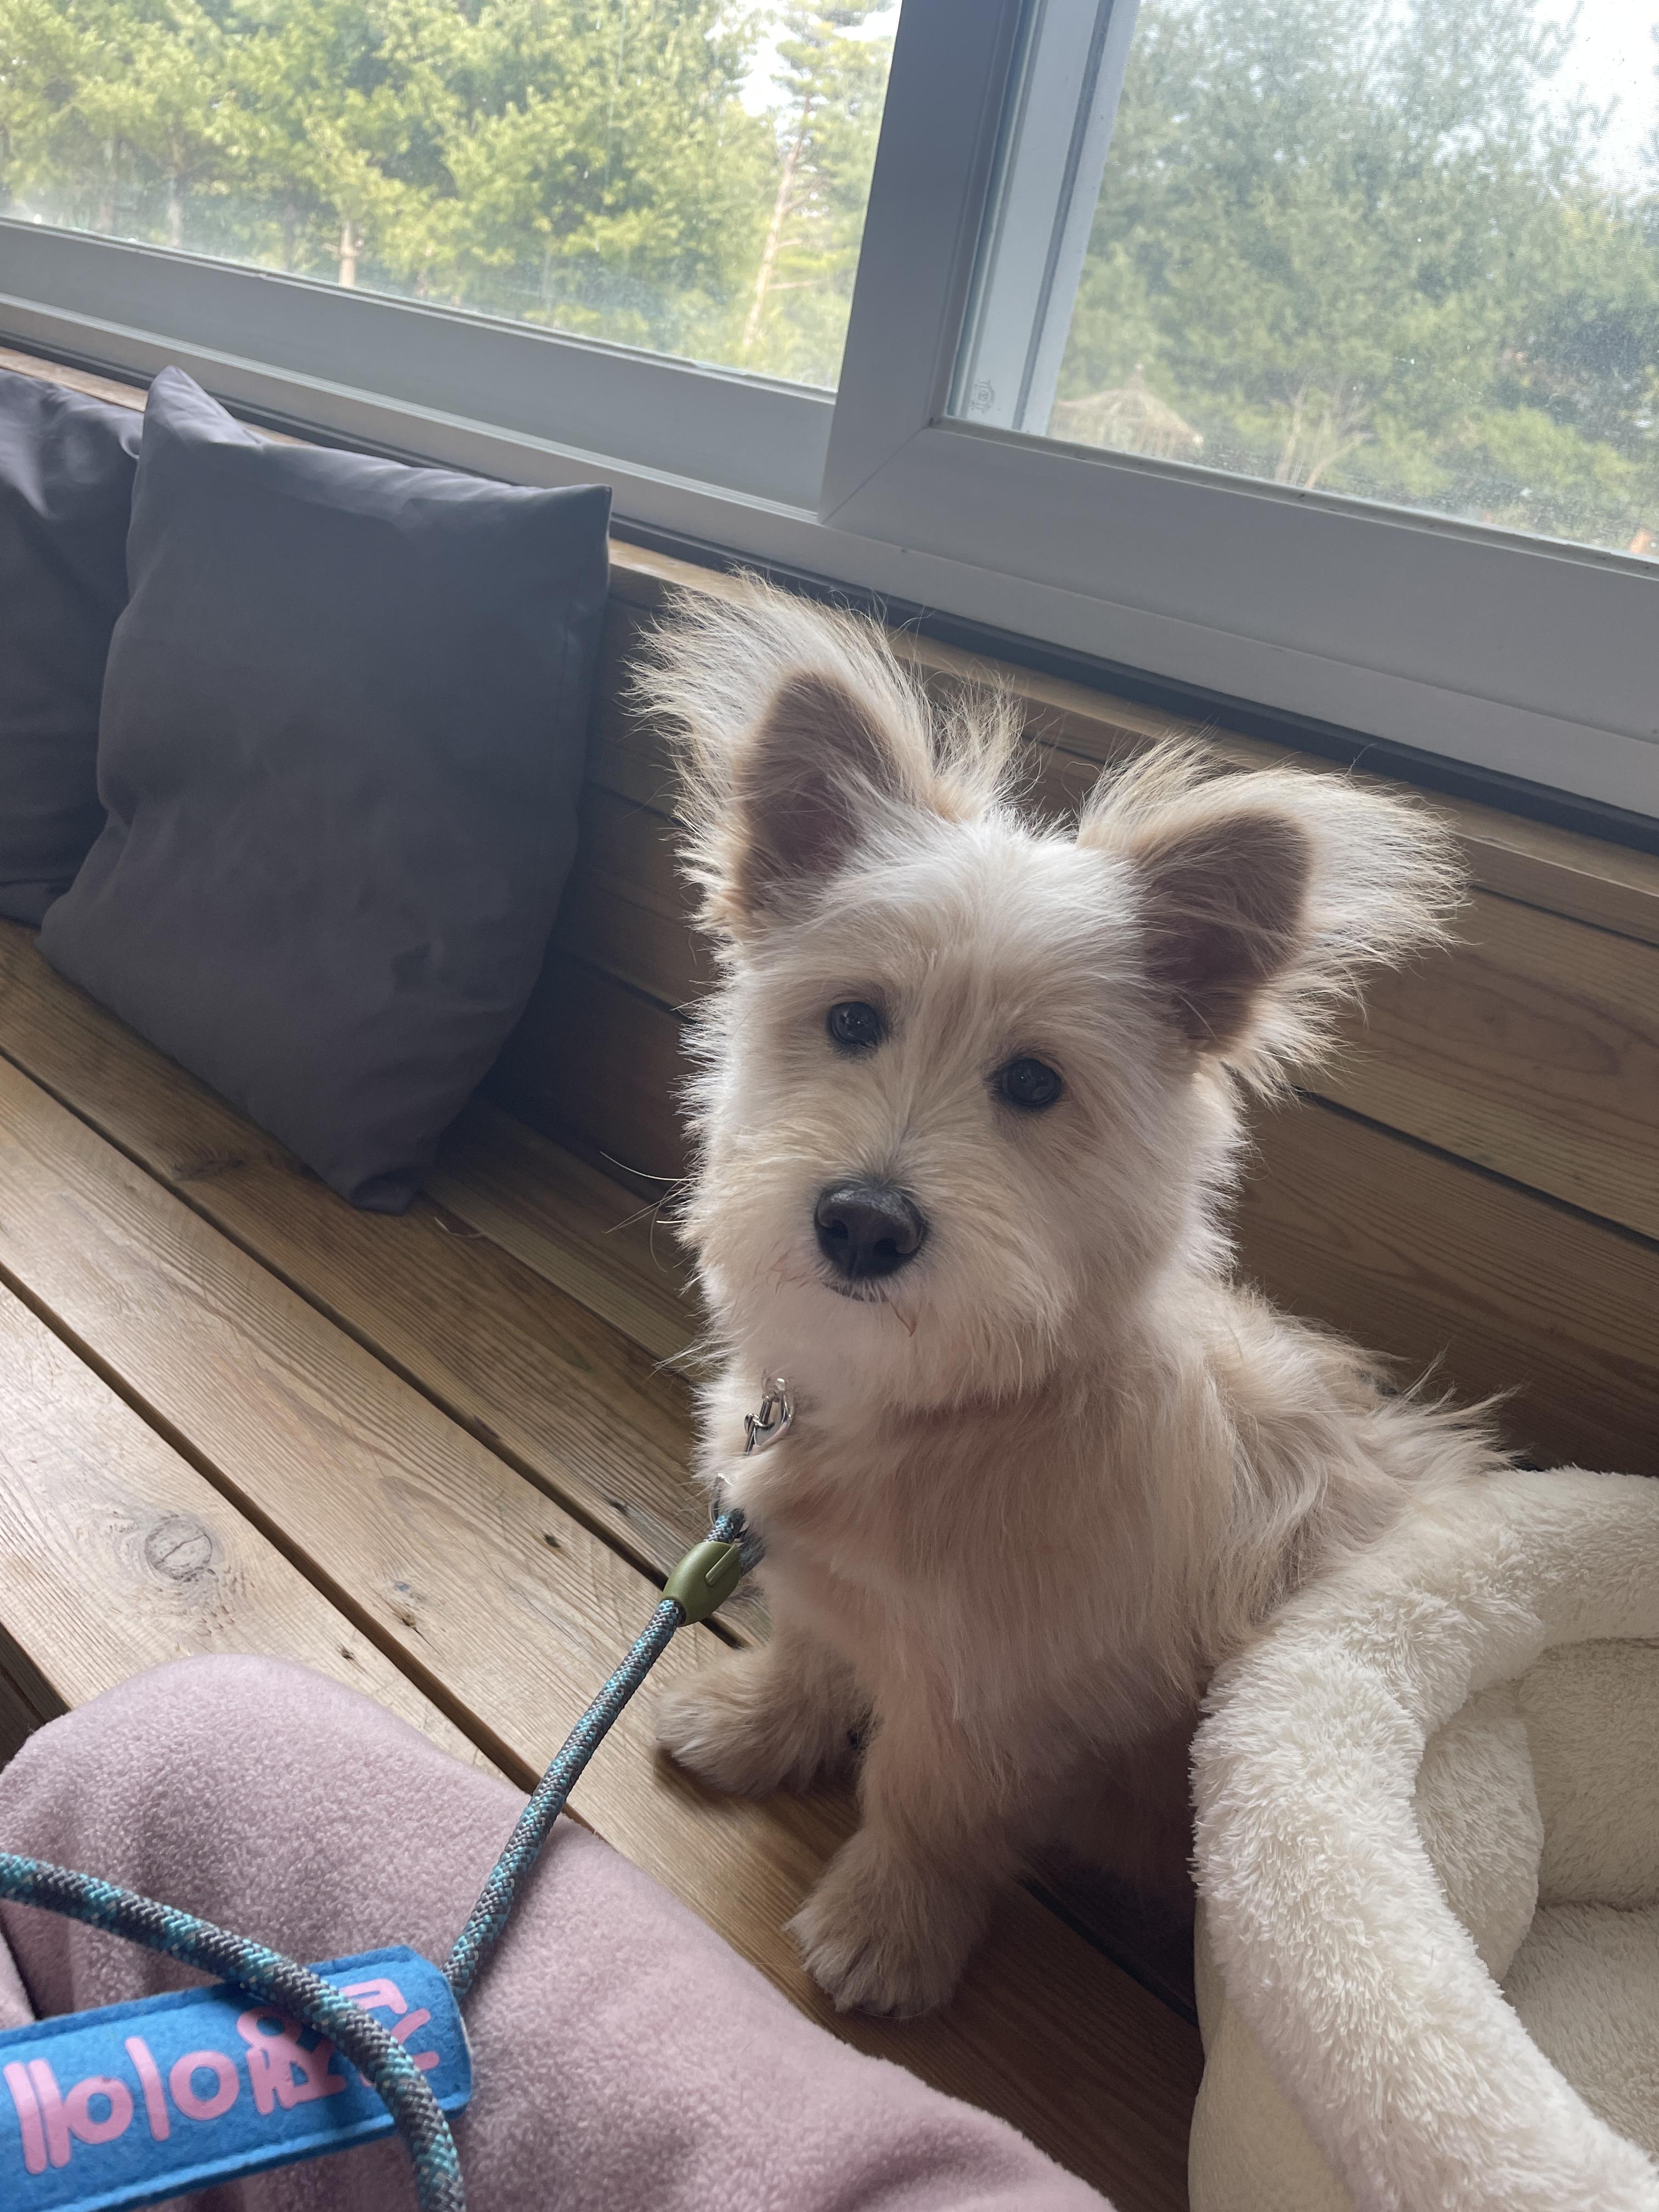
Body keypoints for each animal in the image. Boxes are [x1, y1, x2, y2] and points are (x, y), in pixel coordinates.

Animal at [644, 579, 1505, 2018]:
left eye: (1035, 1085)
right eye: (853, 1021)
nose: (863, 1222)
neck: (953, 1407)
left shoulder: (998, 1708)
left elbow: (921, 1800)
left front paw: (886, 1928)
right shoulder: (831, 1593)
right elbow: (812, 1652)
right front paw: (752, 1725)